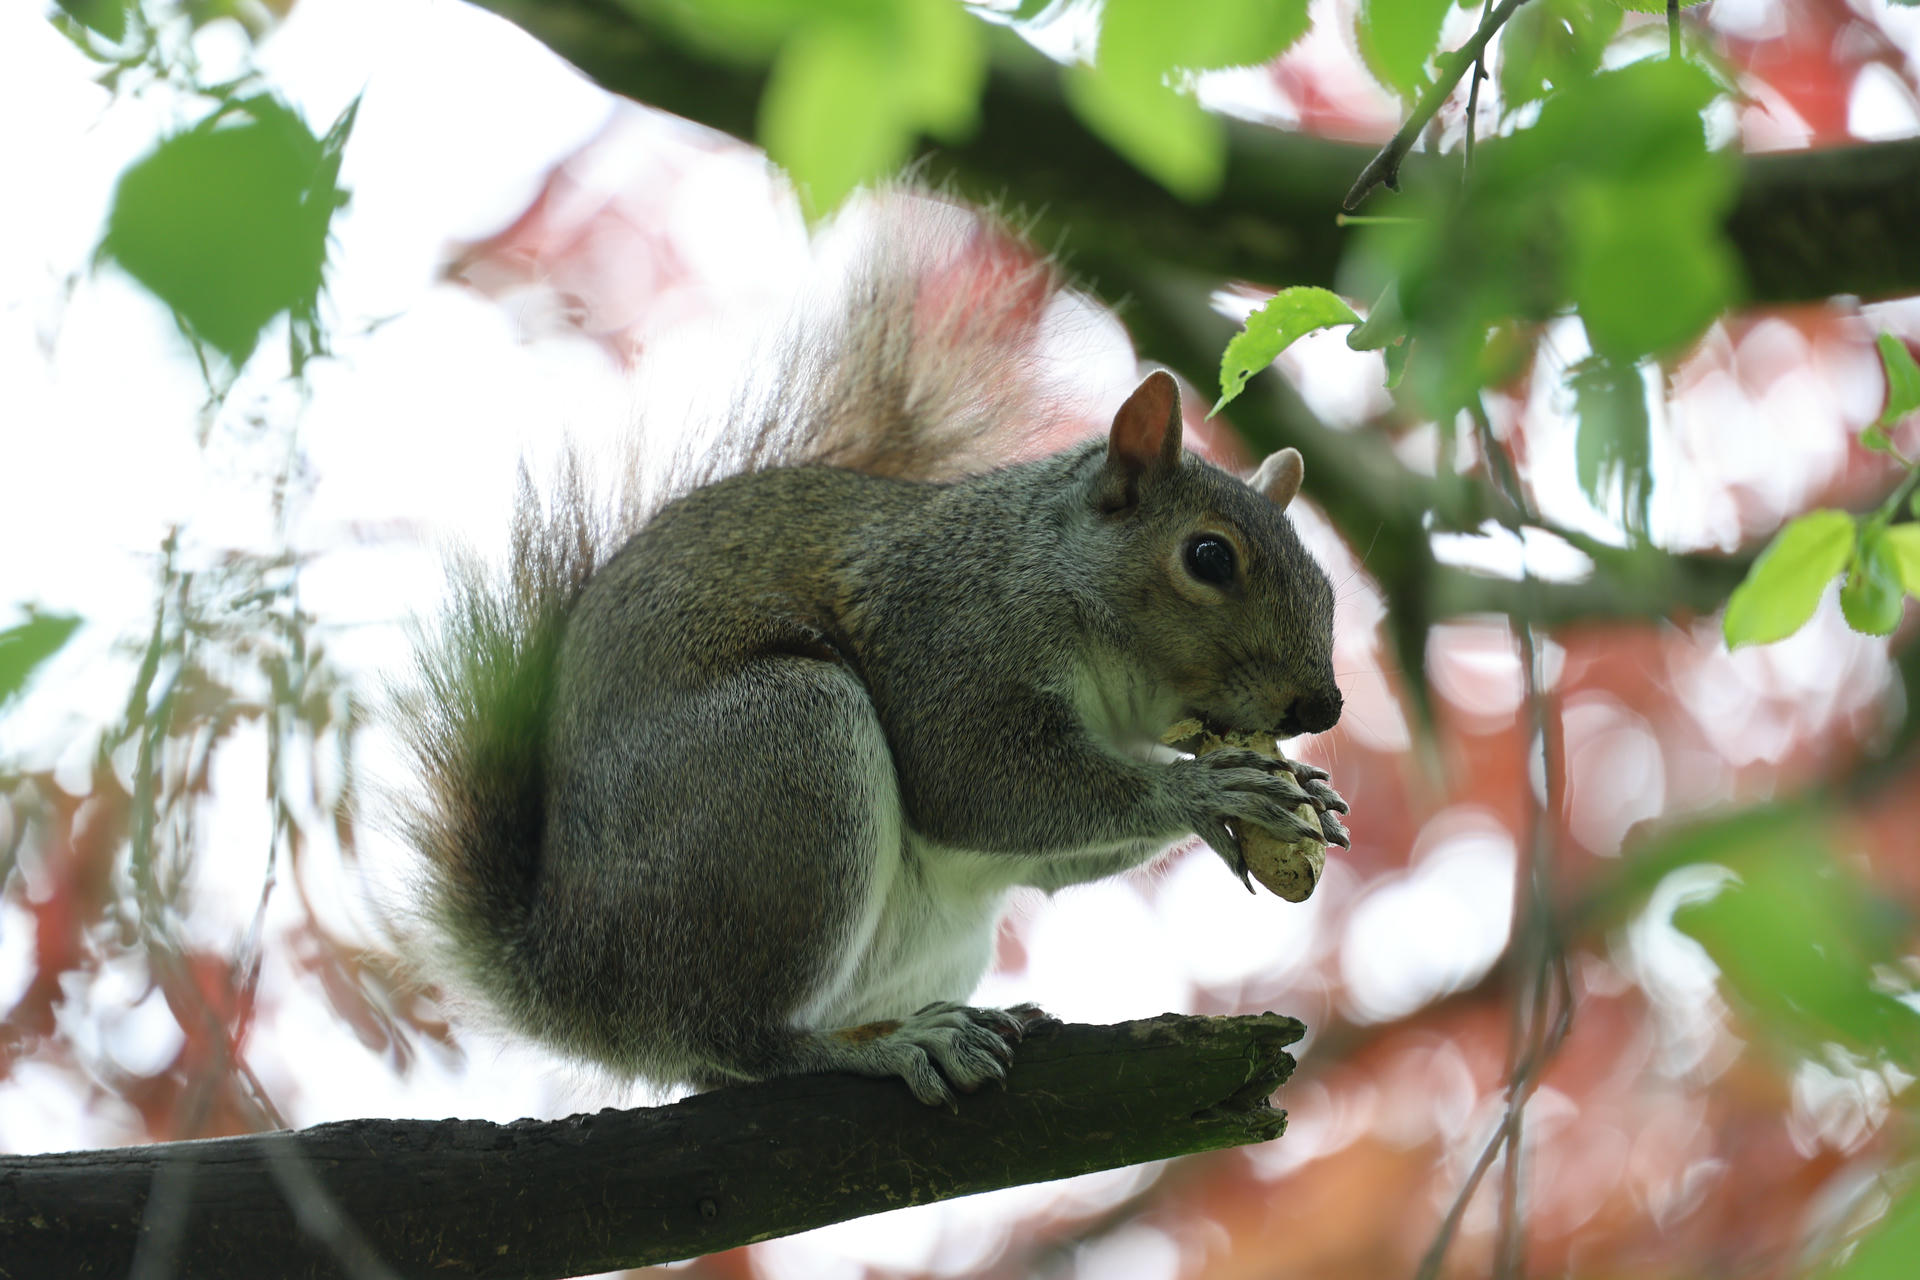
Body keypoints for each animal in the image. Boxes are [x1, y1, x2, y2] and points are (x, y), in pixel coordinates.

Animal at [399, 198, 1348, 1108]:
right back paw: (879, 1048)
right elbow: (974, 783)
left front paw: (1290, 793)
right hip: (785, 759)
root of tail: (574, 986)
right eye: (1209, 557)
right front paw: (1203, 788)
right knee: (736, 1039)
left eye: (1328, 585)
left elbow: (1047, 852)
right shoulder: (944, 637)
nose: (1324, 706)